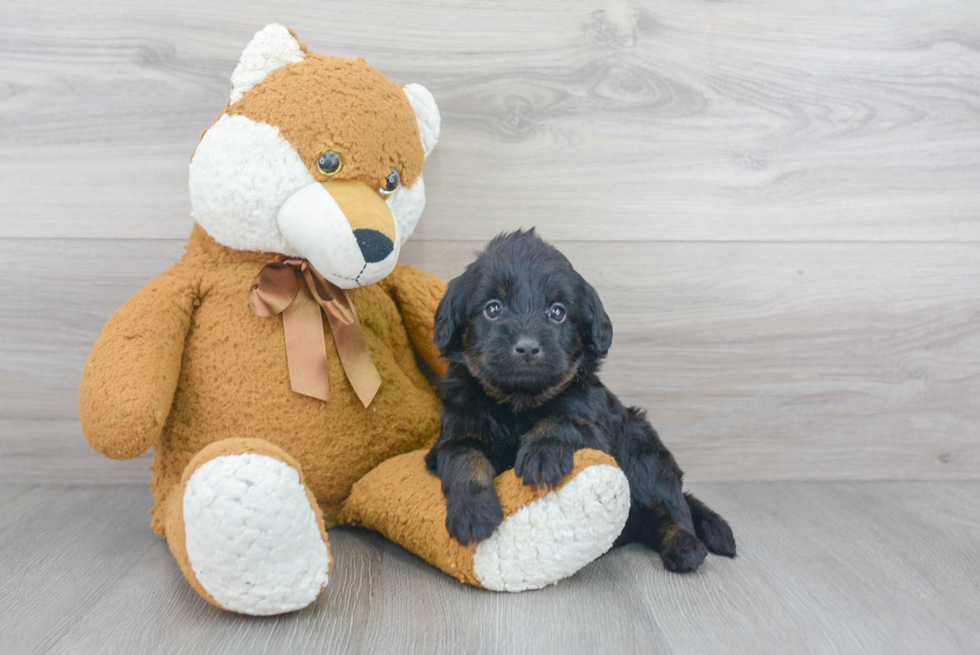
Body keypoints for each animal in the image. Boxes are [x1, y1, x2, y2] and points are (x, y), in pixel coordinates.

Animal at [424, 231, 740, 576]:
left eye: (557, 312)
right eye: (492, 309)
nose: (527, 347)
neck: (518, 403)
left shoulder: (596, 429)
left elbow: (561, 421)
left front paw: (542, 453)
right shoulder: (452, 435)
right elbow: (464, 458)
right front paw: (473, 511)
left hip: (642, 451)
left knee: (671, 507)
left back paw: (684, 545)